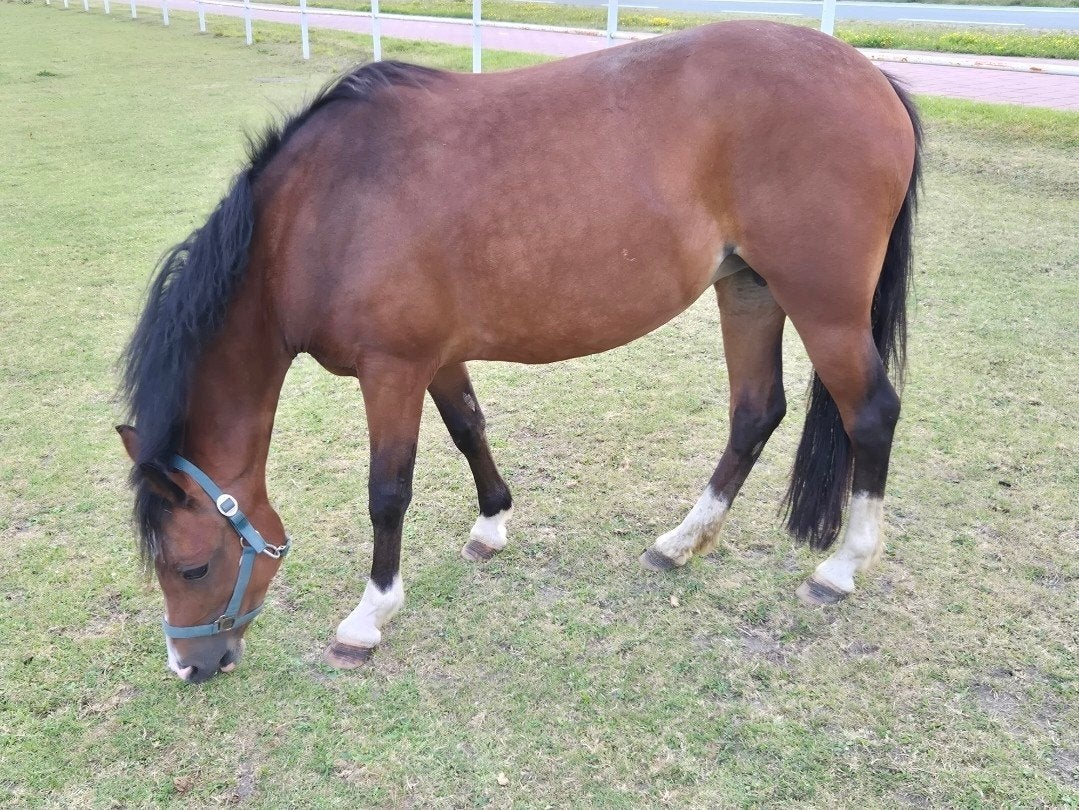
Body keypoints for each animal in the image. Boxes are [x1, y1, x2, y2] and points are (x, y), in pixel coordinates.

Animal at [118, 20, 922, 683]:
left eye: (193, 567)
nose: (190, 667)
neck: (320, 214)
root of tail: (871, 75)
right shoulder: (435, 360)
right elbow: (469, 428)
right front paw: (491, 526)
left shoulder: (391, 370)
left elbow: (388, 491)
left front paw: (368, 618)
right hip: (749, 289)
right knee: (755, 411)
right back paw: (681, 542)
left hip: (821, 304)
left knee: (870, 414)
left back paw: (839, 569)